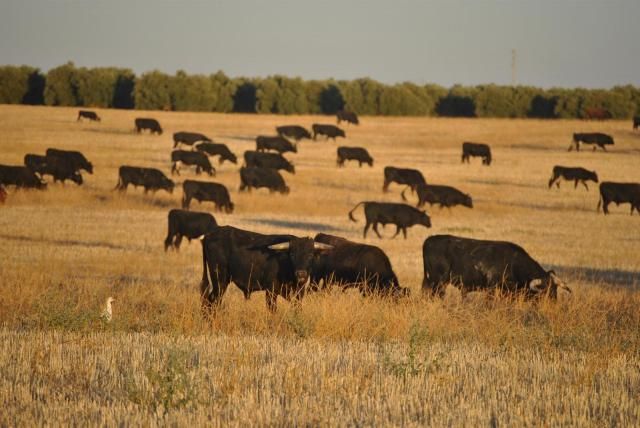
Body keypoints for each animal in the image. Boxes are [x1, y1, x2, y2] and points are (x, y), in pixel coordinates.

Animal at [200, 226, 332, 312]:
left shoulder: (299, 293)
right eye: (292, 254)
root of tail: (209, 235)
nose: (301, 274)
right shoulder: (271, 292)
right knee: (212, 301)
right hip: (220, 281)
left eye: (310, 255)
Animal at [422, 232, 572, 300]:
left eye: (555, 289)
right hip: (438, 282)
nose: (553, 303)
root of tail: (429, 239)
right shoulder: (492, 289)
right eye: (546, 290)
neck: (513, 263)